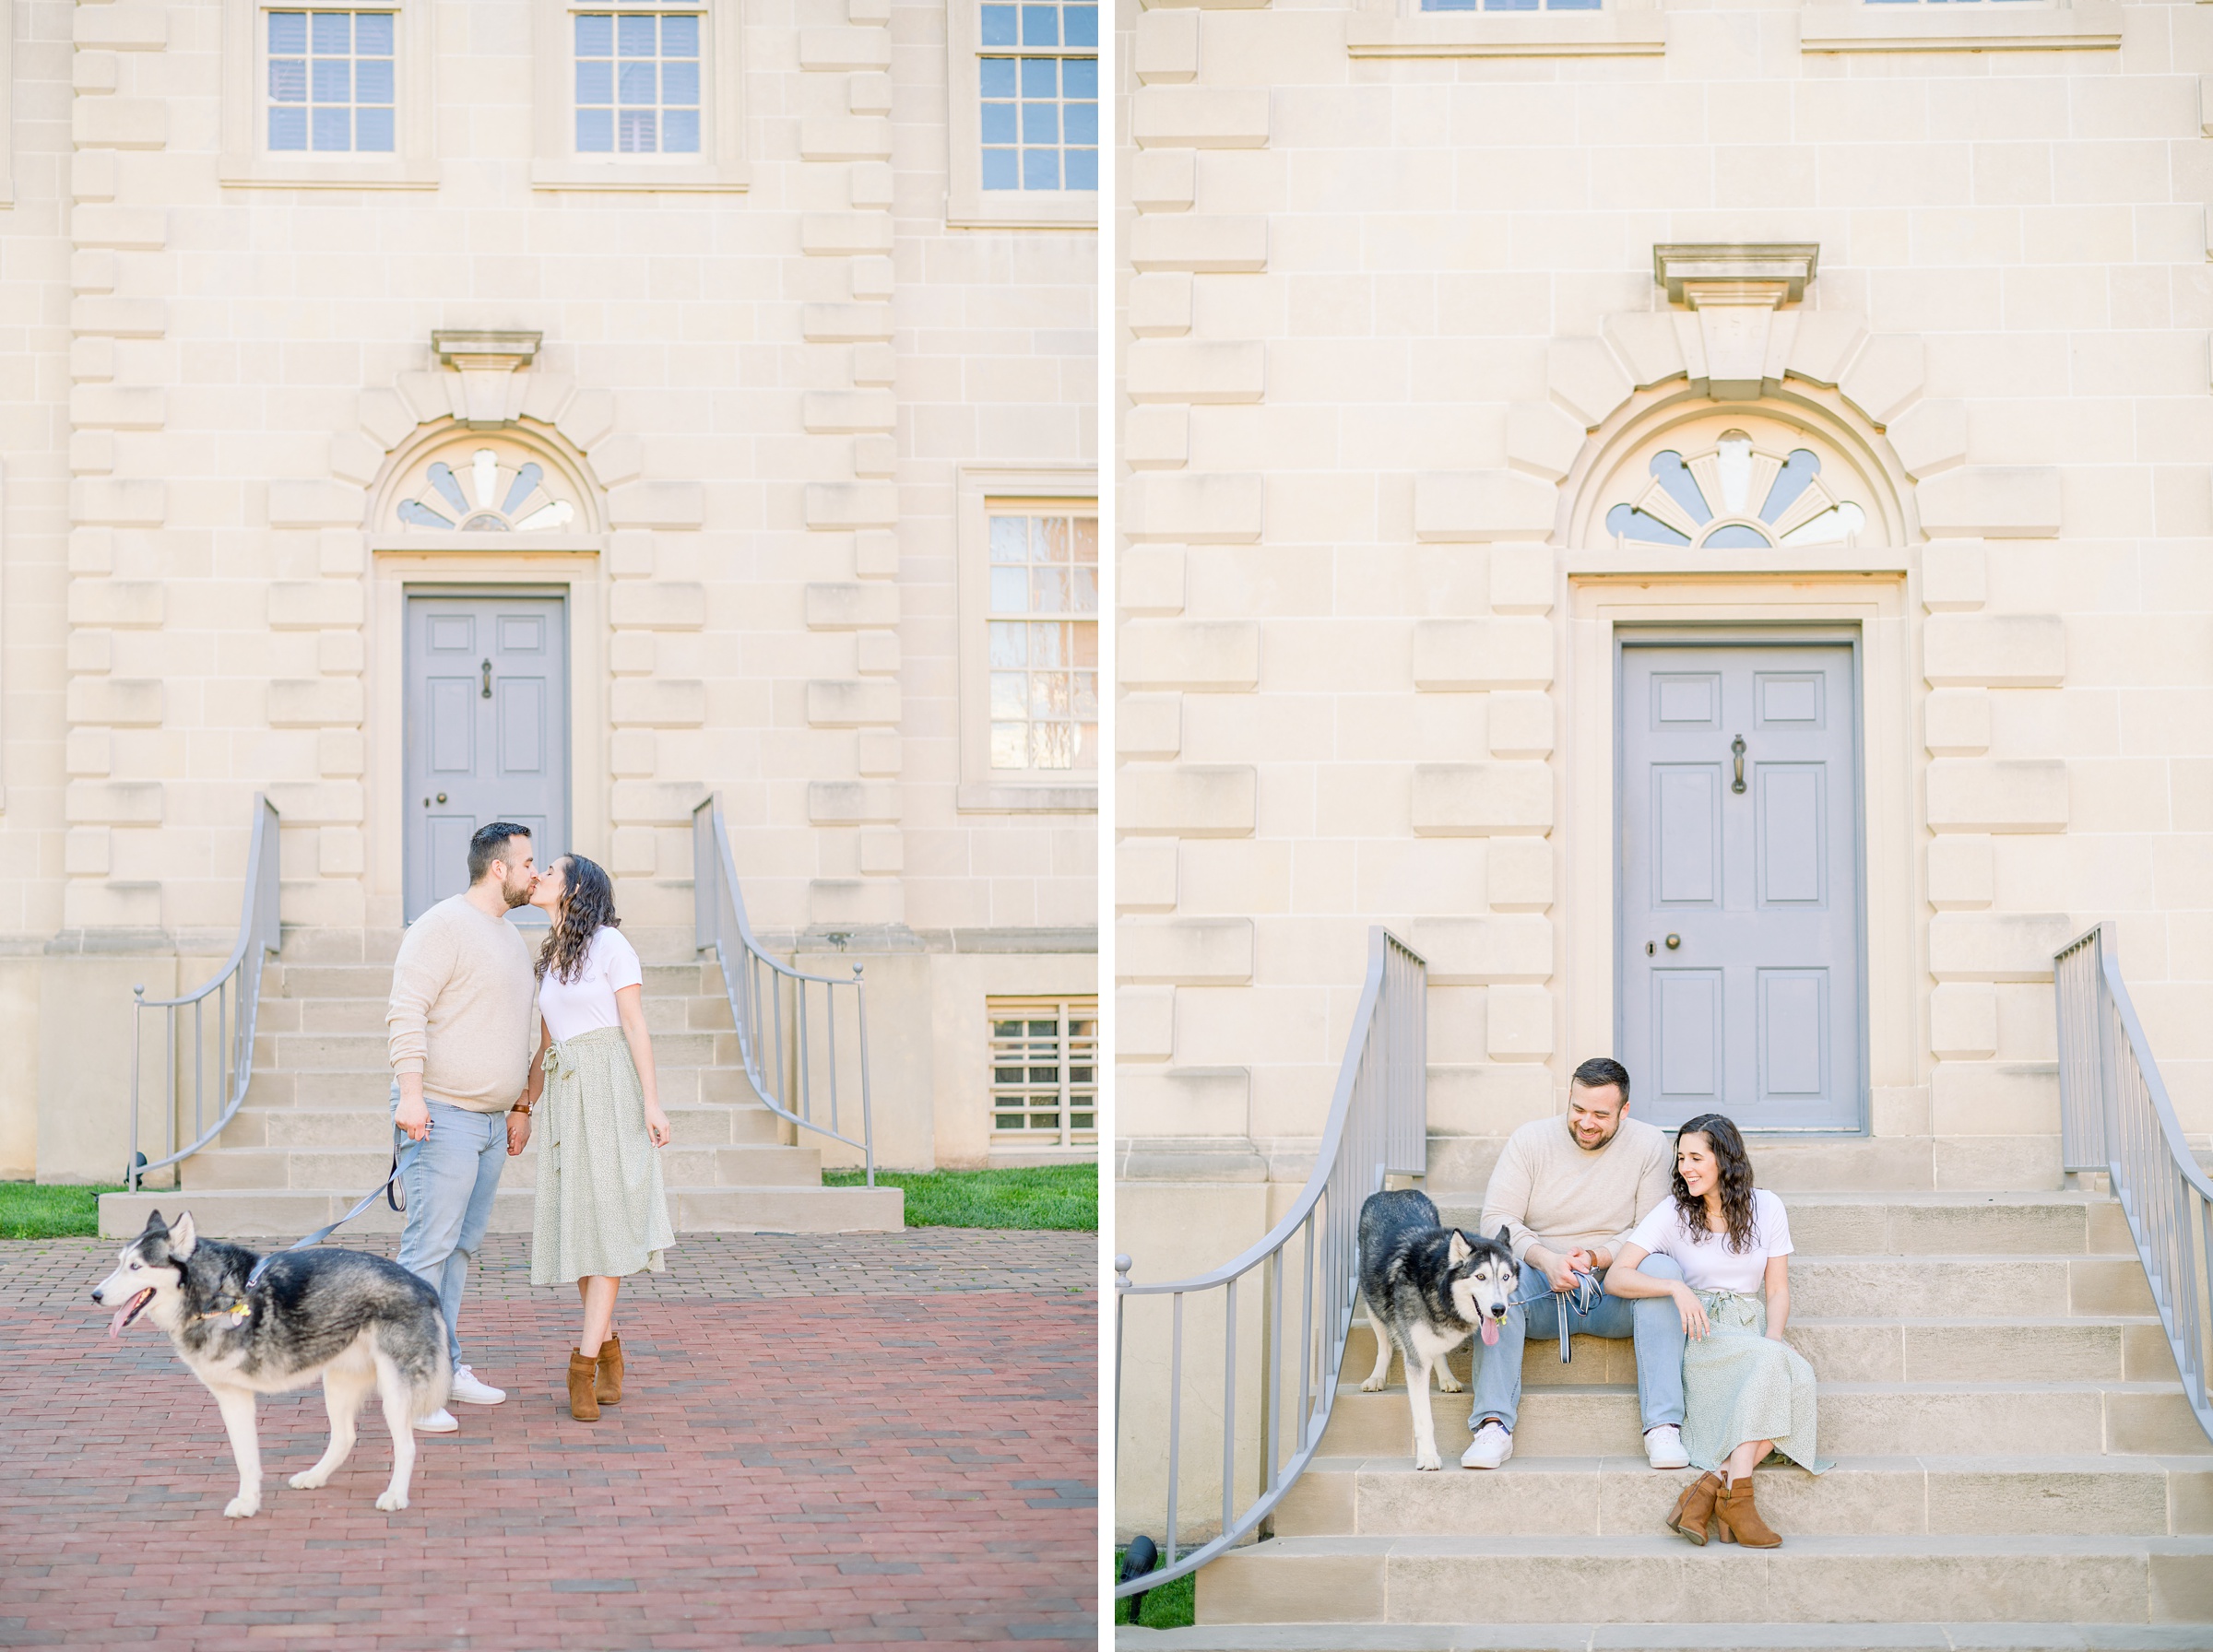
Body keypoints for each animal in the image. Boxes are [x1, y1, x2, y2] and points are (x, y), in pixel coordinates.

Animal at [90, 1211, 451, 1521]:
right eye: (120, 1263)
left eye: (136, 1266)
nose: (95, 1295)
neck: (216, 1297)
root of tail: (423, 1285)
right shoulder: (232, 1398)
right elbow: (245, 1458)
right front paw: (248, 1502)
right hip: (337, 1383)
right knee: (345, 1437)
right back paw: (315, 1476)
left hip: (393, 1391)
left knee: (406, 1446)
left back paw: (396, 1496)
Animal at [1354, 1185, 1513, 1477]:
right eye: (1480, 1277)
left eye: (1505, 1277)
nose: (1498, 1310)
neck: (1439, 1288)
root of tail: (1395, 1191)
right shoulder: (1415, 1363)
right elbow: (1424, 1418)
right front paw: (1428, 1457)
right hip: (1372, 1302)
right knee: (1384, 1344)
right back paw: (1377, 1377)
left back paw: (1447, 1378)